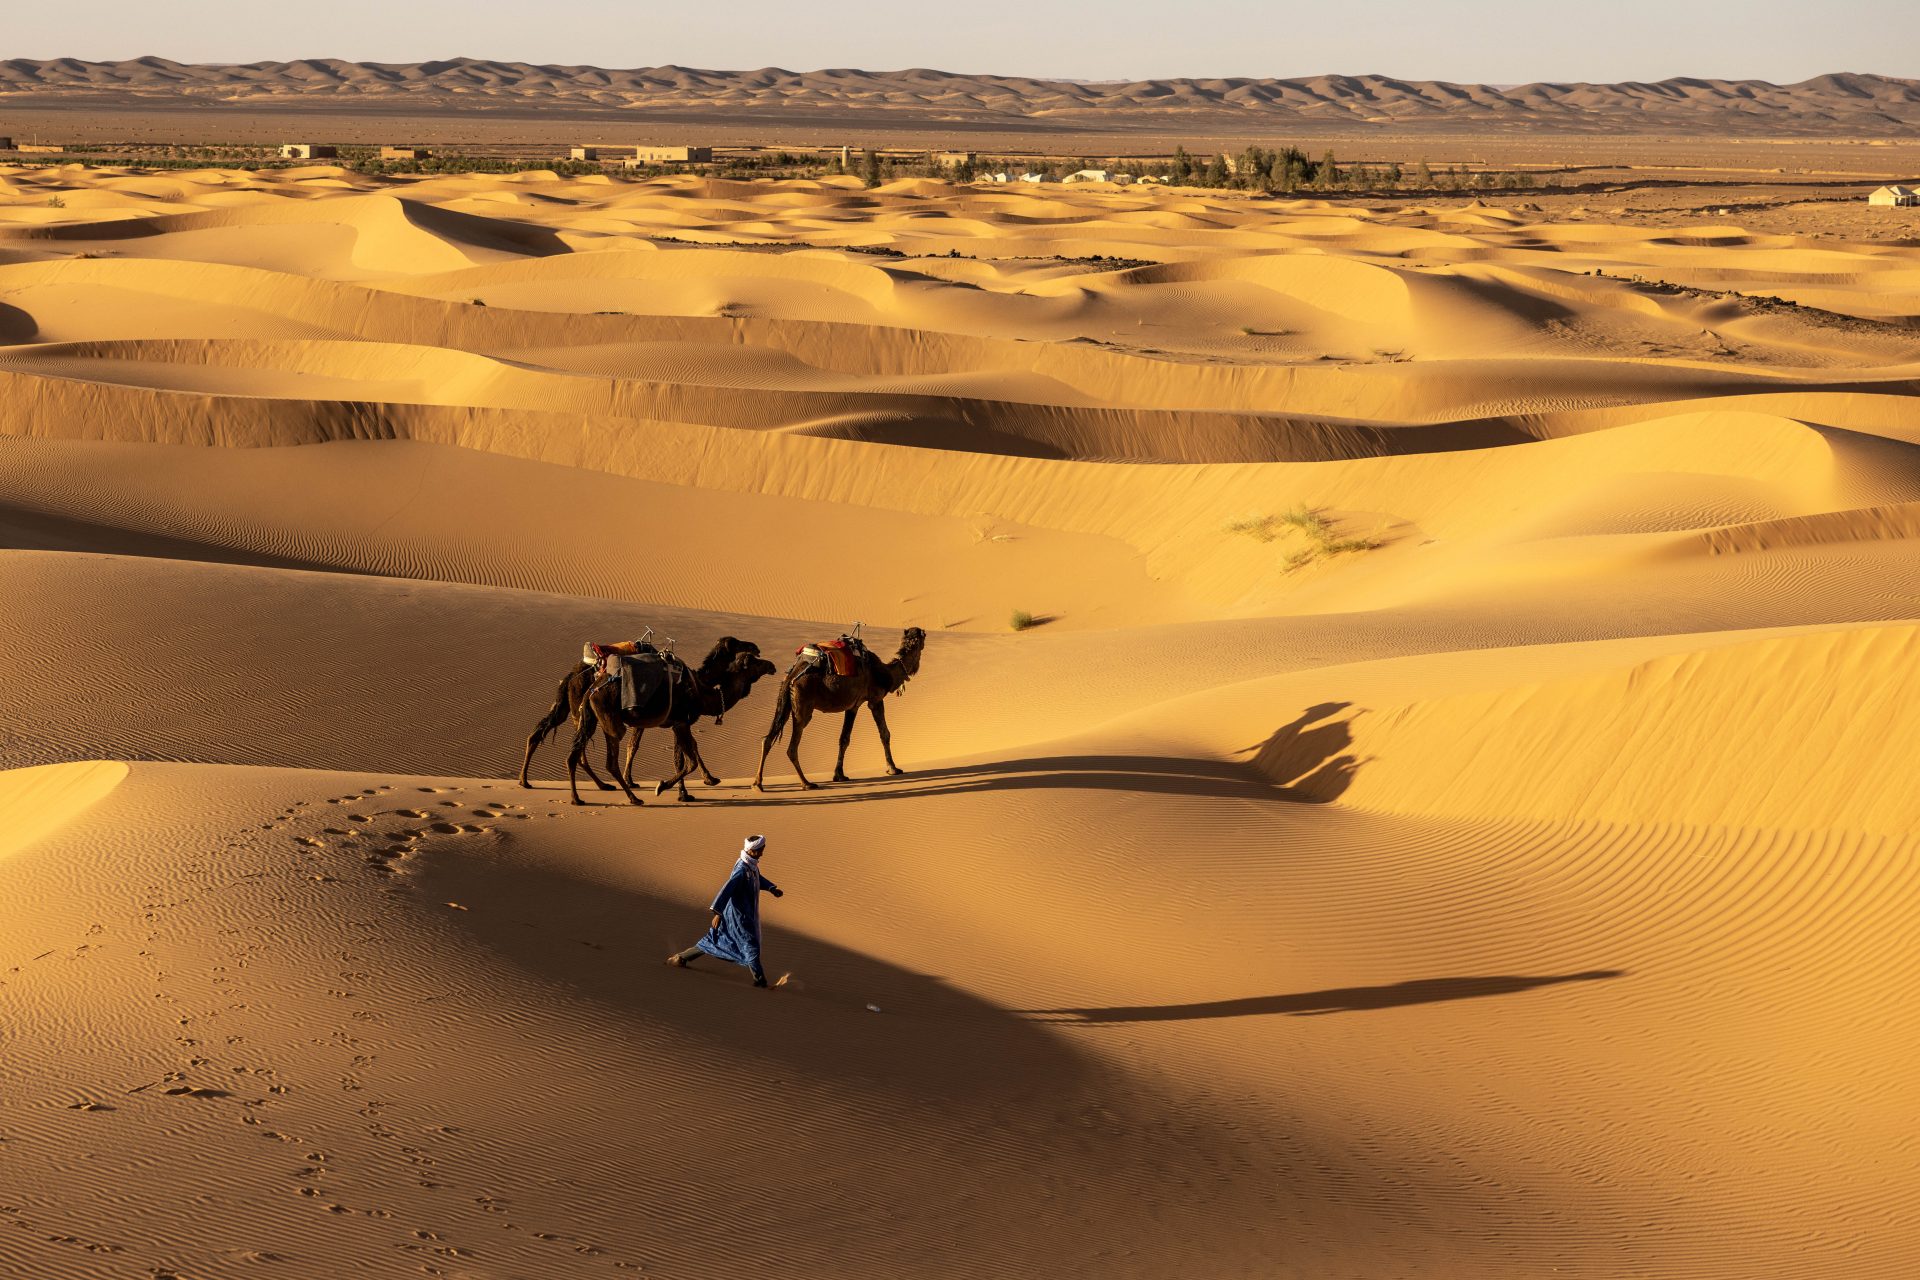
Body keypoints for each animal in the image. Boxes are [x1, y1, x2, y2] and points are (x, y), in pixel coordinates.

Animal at [752, 629, 925, 794]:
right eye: (922, 637)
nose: (923, 634)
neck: (886, 673)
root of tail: (792, 675)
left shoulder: (852, 706)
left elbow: (844, 739)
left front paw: (839, 775)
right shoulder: (875, 700)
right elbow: (884, 734)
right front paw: (893, 768)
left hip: (785, 702)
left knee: (767, 739)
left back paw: (757, 784)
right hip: (803, 707)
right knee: (792, 748)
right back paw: (806, 783)